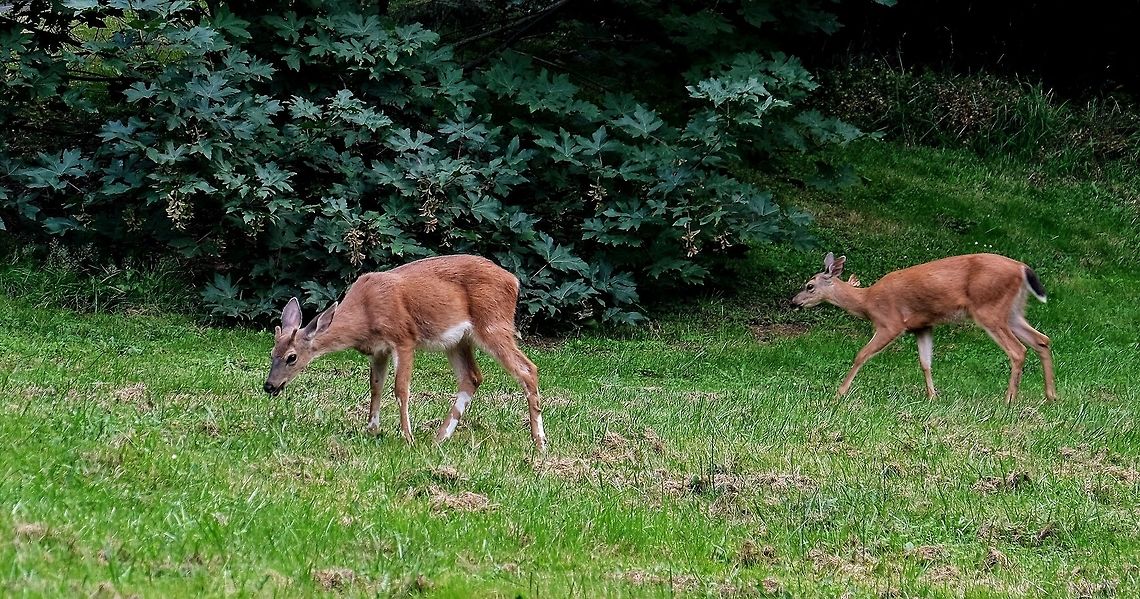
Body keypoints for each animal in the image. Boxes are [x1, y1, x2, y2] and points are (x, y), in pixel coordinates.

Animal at [262, 254, 546, 449]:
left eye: (292, 357)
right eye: (272, 353)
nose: (269, 385)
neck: (365, 314)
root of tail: (514, 282)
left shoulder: (404, 338)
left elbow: (401, 389)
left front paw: (407, 437)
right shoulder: (379, 350)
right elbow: (375, 386)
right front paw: (371, 429)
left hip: (493, 324)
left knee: (527, 369)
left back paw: (539, 443)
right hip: (458, 340)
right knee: (472, 377)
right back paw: (439, 438)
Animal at [791, 252, 1056, 403]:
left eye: (809, 286)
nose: (794, 302)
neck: (866, 301)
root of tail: (1022, 268)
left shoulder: (890, 323)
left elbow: (861, 355)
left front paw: (840, 392)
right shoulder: (922, 326)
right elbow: (925, 362)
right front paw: (932, 396)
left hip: (989, 308)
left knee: (1018, 350)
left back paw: (1009, 400)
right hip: (1012, 311)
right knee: (1042, 339)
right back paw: (1051, 396)